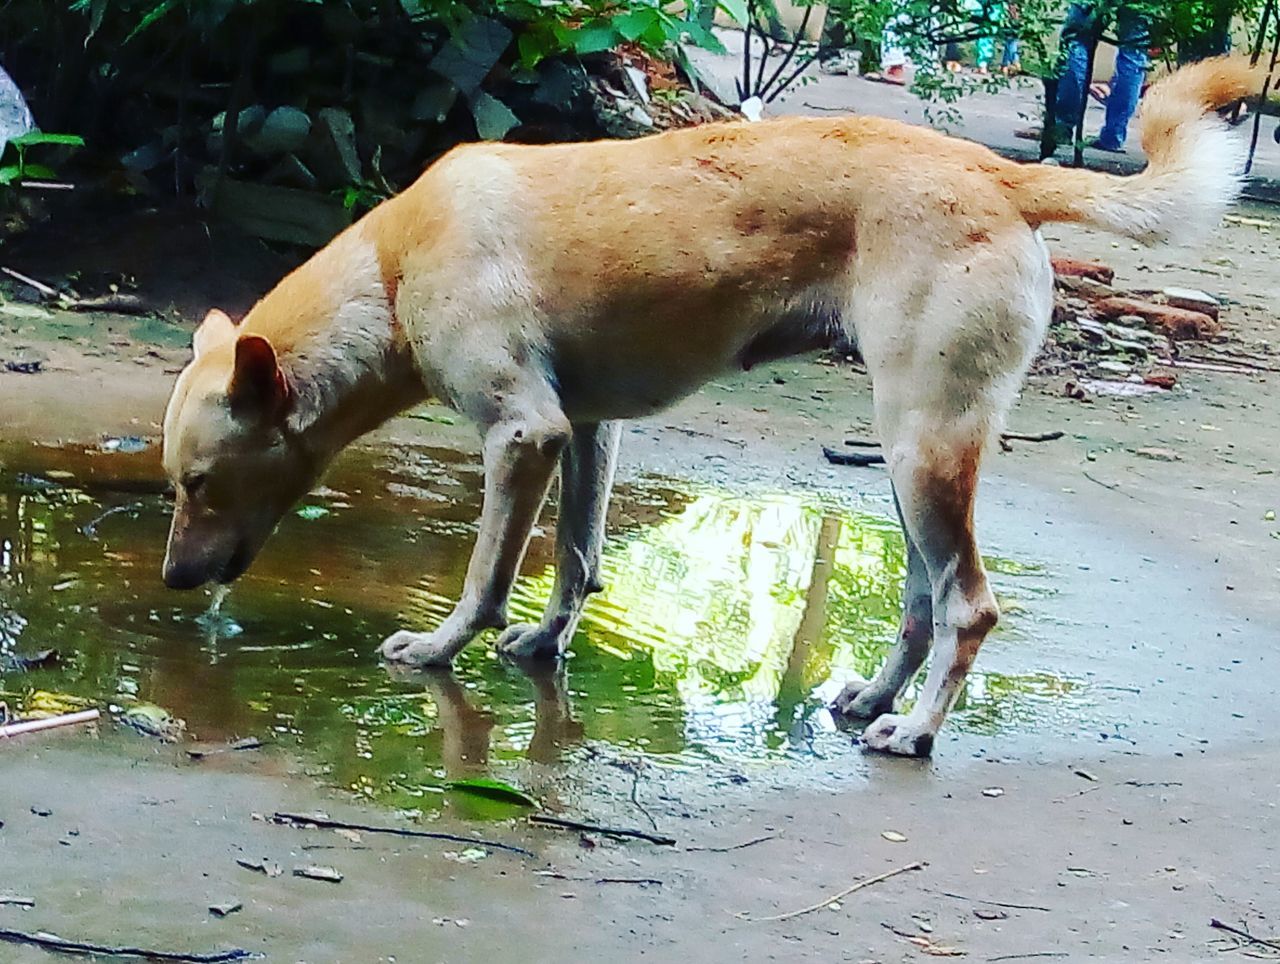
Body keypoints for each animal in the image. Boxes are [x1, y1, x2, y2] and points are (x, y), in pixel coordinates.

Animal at [165, 58, 1254, 757]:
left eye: (200, 483)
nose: (175, 581)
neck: (391, 267)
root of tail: (996, 171)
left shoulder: (521, 433)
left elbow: (486, 576)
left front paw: (439, 648)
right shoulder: (584, 431)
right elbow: (577, 558)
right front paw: (544, 645)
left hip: (923, 447)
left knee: (968, 606)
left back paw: (915, 731)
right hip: (909, 461)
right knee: (919, 604)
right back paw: (871, 699)